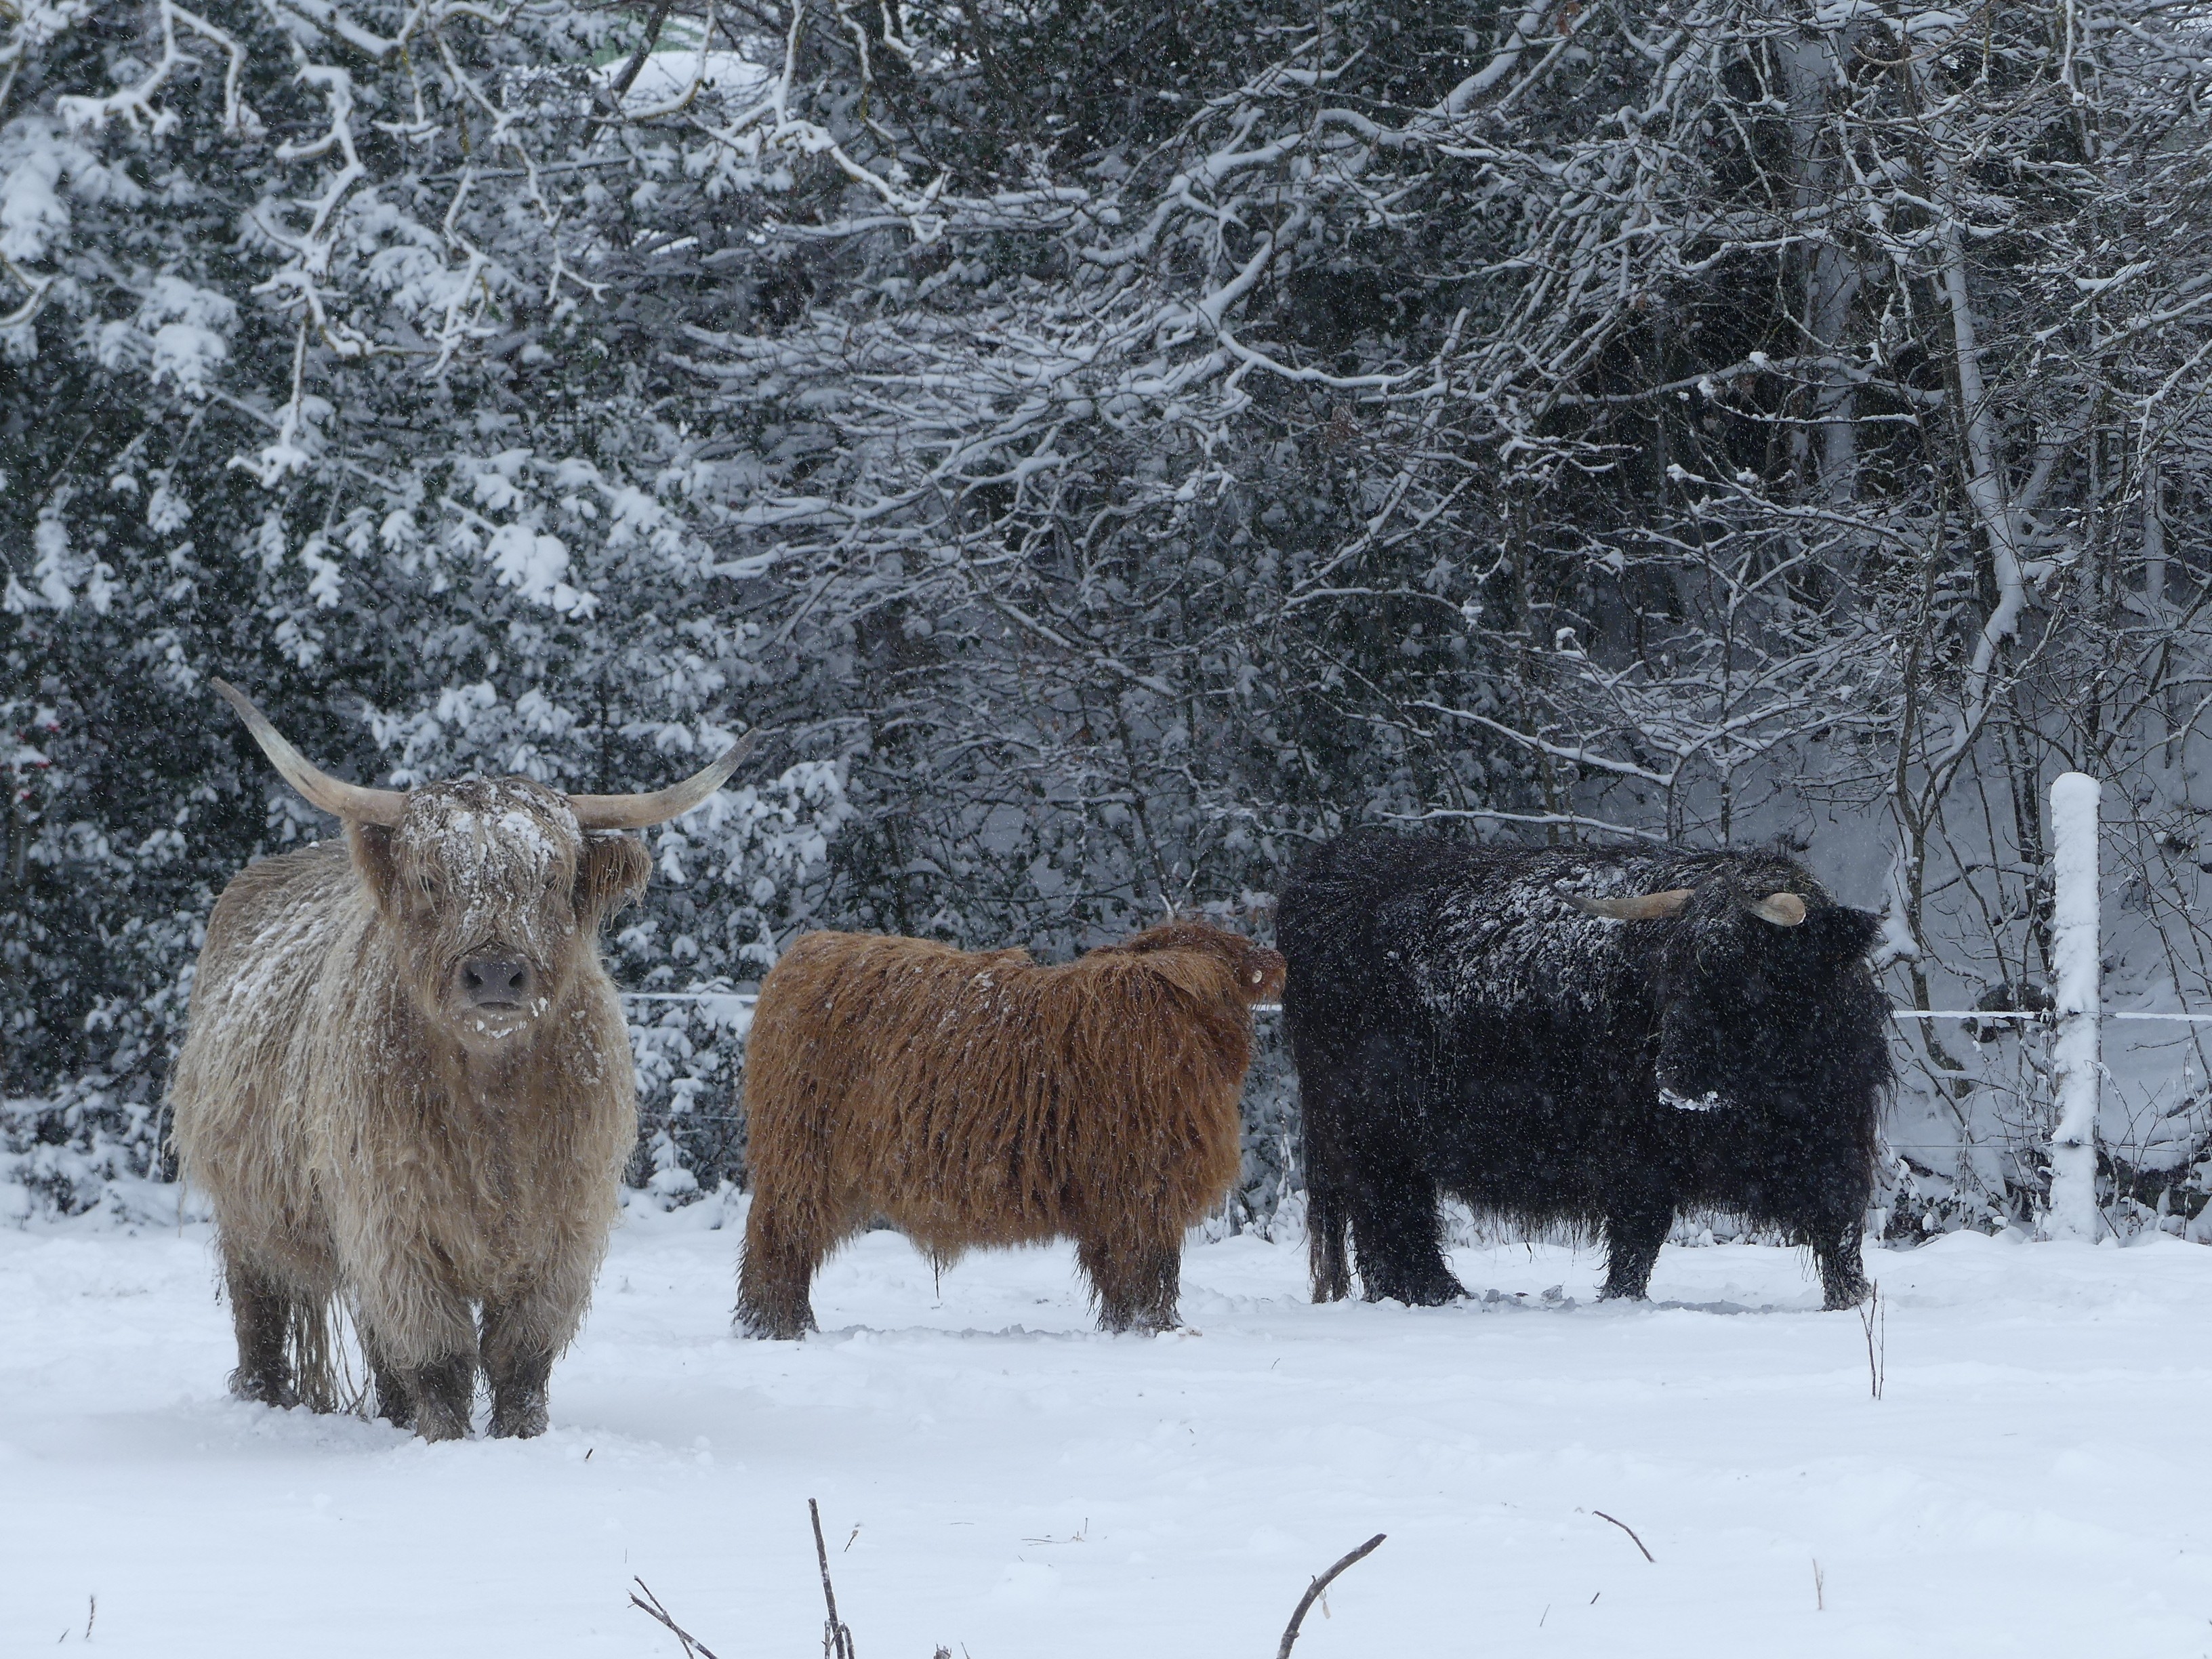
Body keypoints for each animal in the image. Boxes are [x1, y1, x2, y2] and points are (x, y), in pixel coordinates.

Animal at [170, 685, 760, 1442]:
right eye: (430, 877)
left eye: (552, 878)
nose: (496, 974)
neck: (492, 1101)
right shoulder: (392, 1225)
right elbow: (438, 1355)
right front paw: (445, 1442)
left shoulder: (563, 1227)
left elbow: (519, 1356)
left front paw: (521, 1438)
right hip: (248, 1213)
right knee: (263, 1313)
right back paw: (265, 1398)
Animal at [734, 924, 1283, 1336]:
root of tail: (804, 953)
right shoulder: (1142, 1187)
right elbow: (1145, 1272)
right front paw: (1152, 1330)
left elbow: (1125, 1272)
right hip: (800, 1154)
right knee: (780, 1239)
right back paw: (780, 1327)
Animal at [1292, 836, 1893, 1318]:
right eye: (1671, 972)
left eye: (1749, 972)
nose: (1672, 1077)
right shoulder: (1637, 1153)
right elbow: (1636, 1239)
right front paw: (1621, 1304)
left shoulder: (1834, 1138)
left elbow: (1839, 1229)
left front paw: (1851, 1303)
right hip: (1368, 1131)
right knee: (1389, 1218)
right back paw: (1432, 1297)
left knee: (1395, 1224)